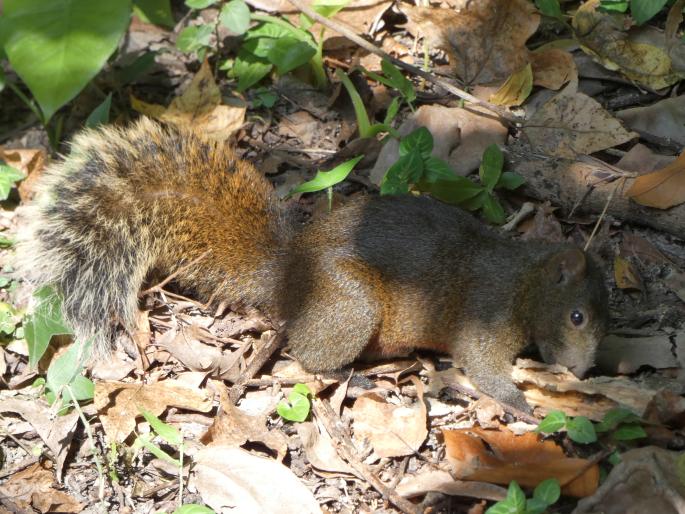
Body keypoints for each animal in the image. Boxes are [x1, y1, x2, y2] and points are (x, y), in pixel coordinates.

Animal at [21, 116, 608, 408]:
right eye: (577, 316)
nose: (584, 372)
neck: (524, 280)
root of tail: (289, 276)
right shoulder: (485, 315)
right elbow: (483, 367)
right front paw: (523, 402)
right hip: (352, 305)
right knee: (308, 356)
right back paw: (359, 378)